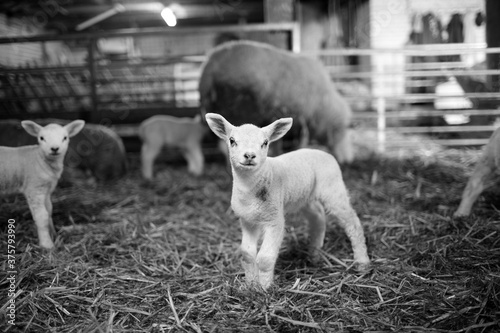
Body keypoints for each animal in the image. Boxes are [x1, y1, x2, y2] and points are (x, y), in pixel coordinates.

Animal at [0, 118, 85, 246]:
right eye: (41, 138)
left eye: (65, 137)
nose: (54, 148)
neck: (40, 158)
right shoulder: (34, 188)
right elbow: (42, 216)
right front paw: (47, 244)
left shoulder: (46, 189)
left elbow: (49, 210)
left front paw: (53, 234)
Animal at [200, 39, 356, 163]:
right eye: (343, 130)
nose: (348, 160)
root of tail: (209, 67)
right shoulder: (301, 118)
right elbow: (299, 143)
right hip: (236, 110)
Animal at [204, 112, 372, 288]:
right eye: (232, 140)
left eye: (265, 142)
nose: (249, 155)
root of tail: (324, 153)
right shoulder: (247, 221)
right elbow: (247, 253)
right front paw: (250, 285)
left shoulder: (274, 220)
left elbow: (264, 258)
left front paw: (264, 288)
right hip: (305, 197)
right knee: (318, 217)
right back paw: (314, 254)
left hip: (333, 189)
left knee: (352, 223)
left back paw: (362, 262)